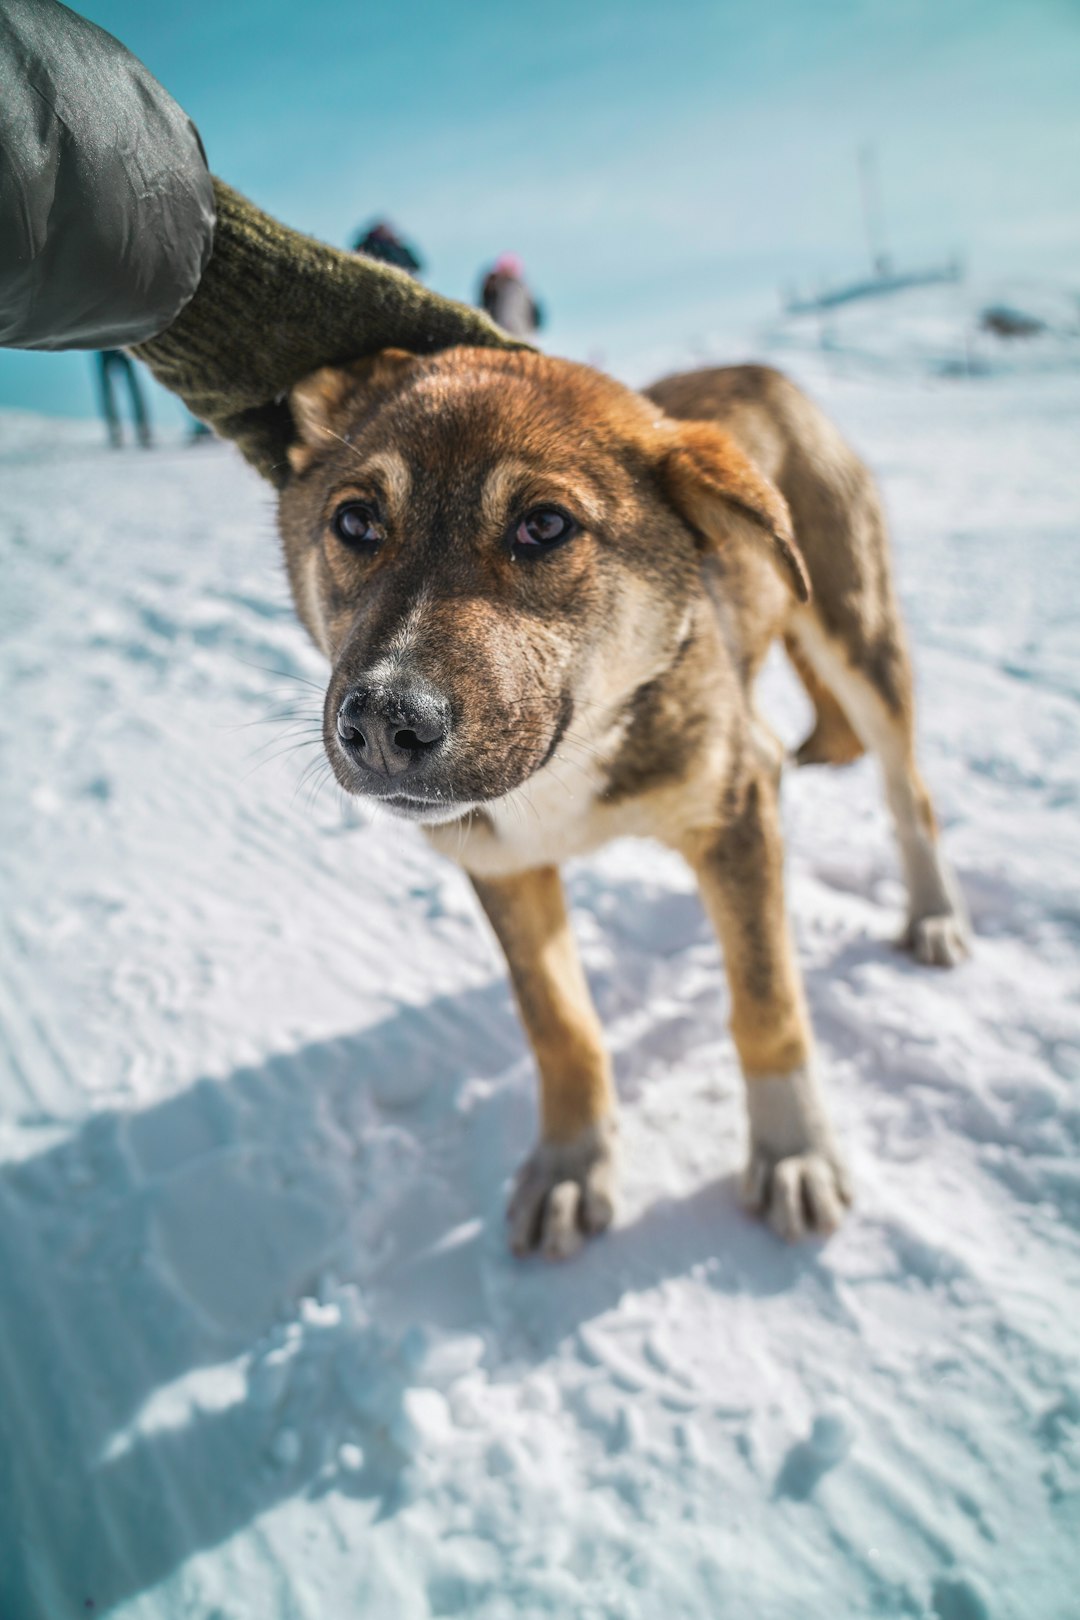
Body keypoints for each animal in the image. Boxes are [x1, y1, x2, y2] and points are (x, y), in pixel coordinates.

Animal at [278, 351, 971, 1263]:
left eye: (543, 525)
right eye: (356, 522)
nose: (385, 725)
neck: (569, 766)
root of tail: (759, 369)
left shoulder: (728, 804)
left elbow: (768, 1002)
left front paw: (794, 1151)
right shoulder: (500, 862)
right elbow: (560, 1026)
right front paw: (573, 1164)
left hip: (857, 634)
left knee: (905, 791)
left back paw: (934, 916)